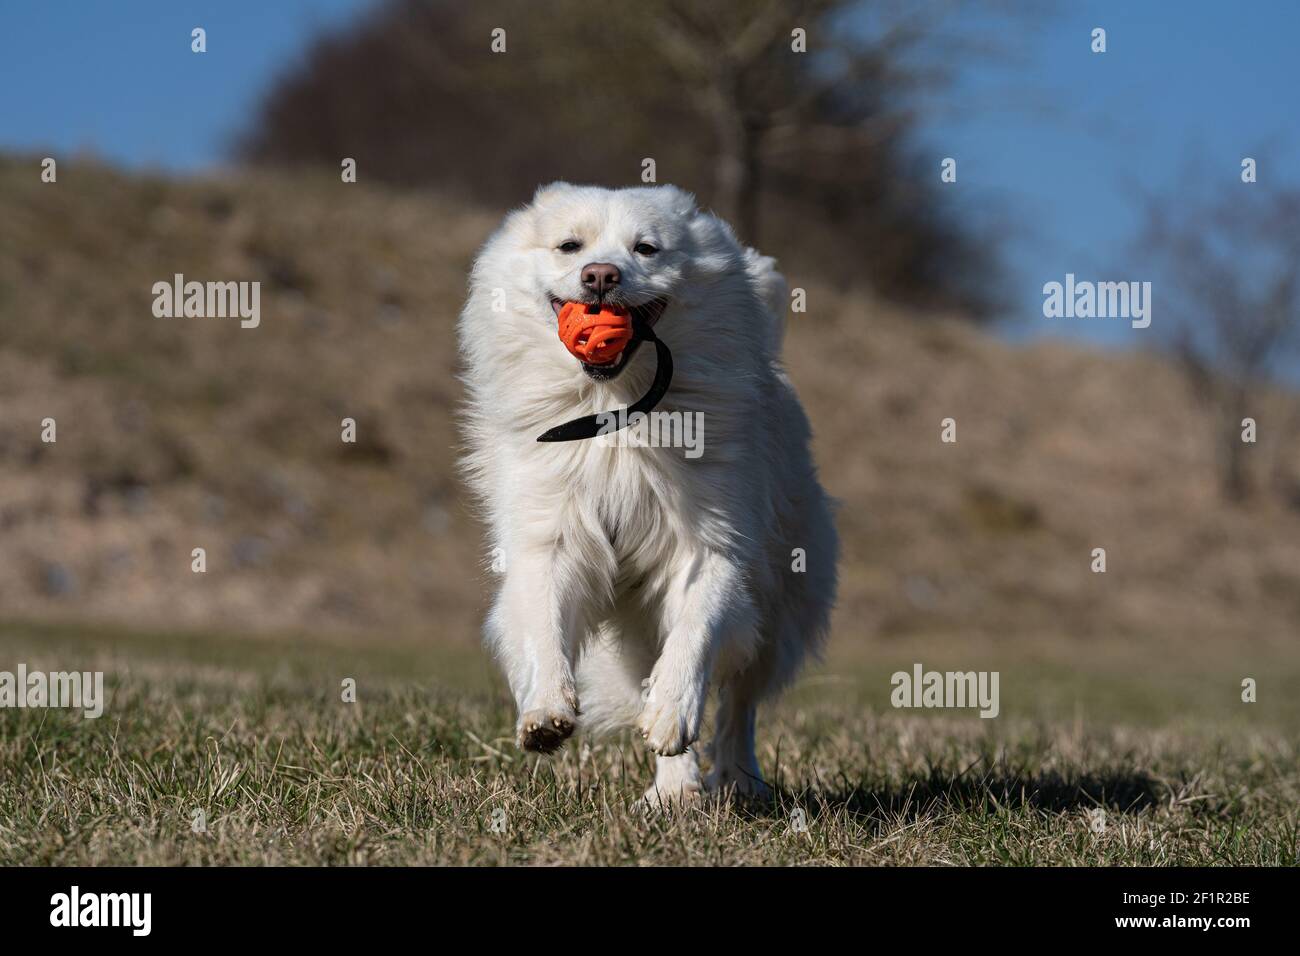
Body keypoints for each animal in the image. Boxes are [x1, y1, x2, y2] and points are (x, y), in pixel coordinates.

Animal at [457, 183, 837, 806]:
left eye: (647, 249)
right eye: (570, 246)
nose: (600, 276)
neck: (615, 410)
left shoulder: (711, 544)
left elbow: (695, 634)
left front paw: (672, 712)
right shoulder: (549, 537)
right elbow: (543, 624)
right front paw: (545, 711)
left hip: (779, 605)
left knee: (738, 704)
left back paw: (736, 780)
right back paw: (676, 793)